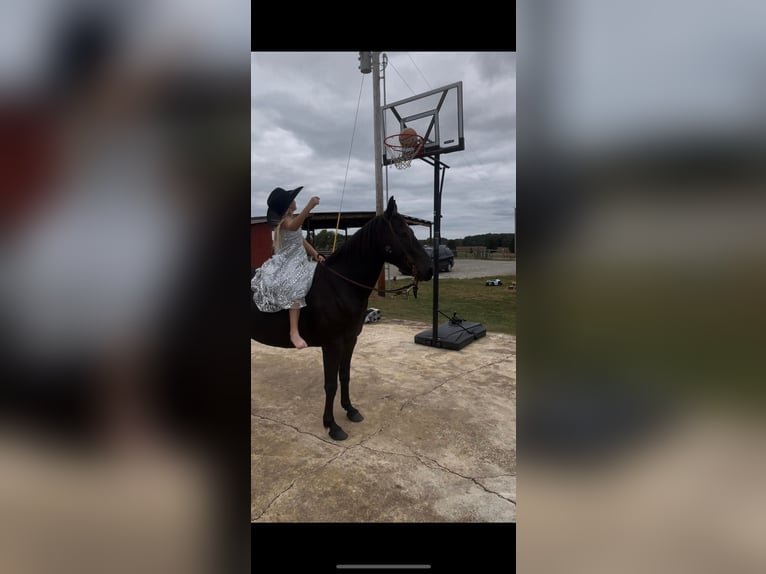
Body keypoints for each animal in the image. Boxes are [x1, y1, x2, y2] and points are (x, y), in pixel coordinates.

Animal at [250, 198, 432, 440]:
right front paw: (332, 425)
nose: (429, 269)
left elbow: (344, 376)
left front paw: (350, 410)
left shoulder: (350, 340)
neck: (340, 285)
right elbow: (330, 384)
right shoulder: (332, 345)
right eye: (403, 232)